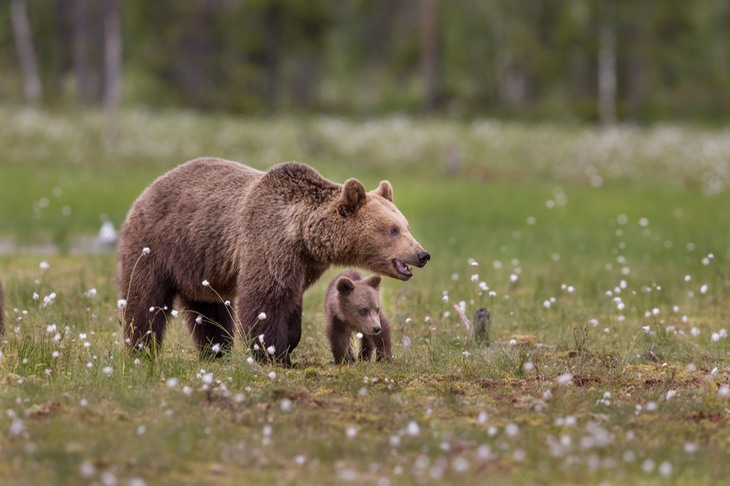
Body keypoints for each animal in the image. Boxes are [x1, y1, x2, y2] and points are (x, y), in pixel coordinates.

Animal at [116, 158, 426, 366]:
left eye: (405, 225)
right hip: (156, 246)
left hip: (202, 265)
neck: (302, 234)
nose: (422, 255)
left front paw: (288, 344)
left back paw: (216, 350)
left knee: (211, 310)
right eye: (392, 230)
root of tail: (146, 190)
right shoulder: (268, 242)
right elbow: (266, 299)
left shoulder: (303, 265)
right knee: (145, 300)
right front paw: (273, 354)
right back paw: (141, 348)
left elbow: (291, 303)